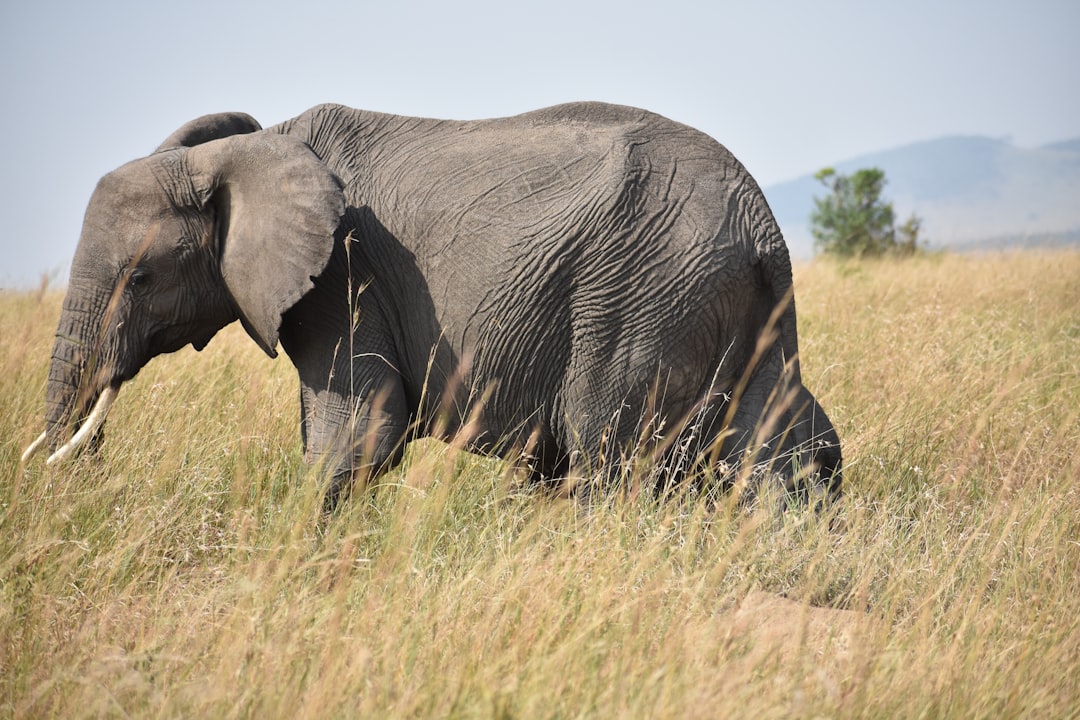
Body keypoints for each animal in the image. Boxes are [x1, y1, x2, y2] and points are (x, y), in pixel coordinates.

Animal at [19, 101, 842, 509]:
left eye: (141, 278)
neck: (246, 151)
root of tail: (762, 227)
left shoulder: (345, 276)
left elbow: (359, 435)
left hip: (639, 296)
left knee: (602, 454)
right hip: (732, 305)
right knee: (788, 450)